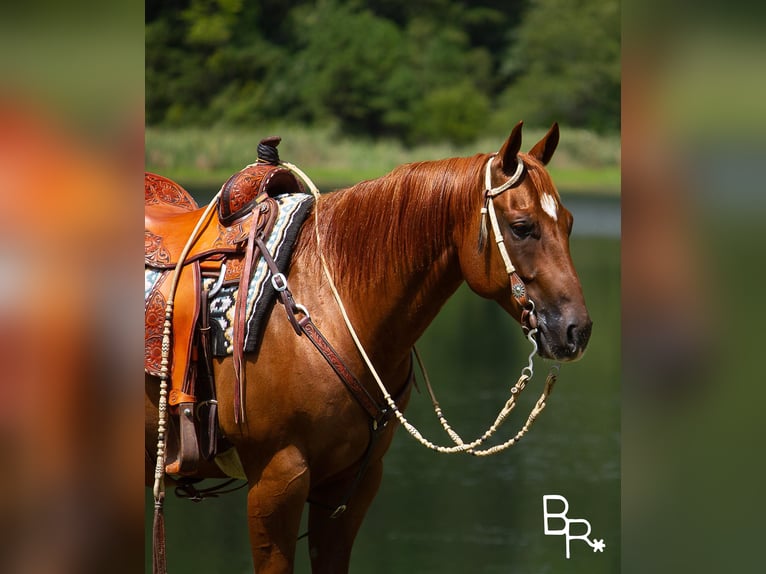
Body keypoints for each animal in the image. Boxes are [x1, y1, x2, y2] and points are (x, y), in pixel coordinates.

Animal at [146, 120, 592, 572]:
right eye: (522, 227)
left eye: (570, 223)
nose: (577, 330)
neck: (328, 306)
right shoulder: (276, 478)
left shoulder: (352, 485)